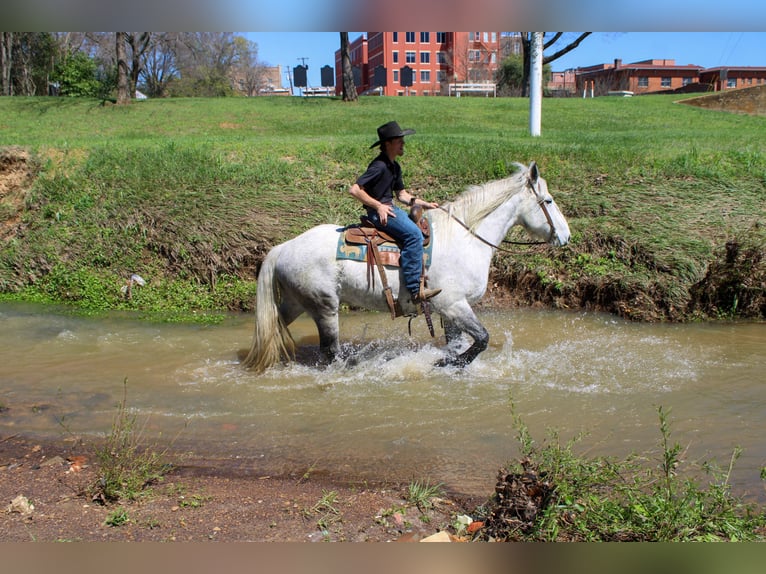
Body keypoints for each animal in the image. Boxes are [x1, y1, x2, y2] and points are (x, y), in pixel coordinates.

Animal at [242, 161, 570, 373]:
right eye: (548, 201)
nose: (566, 237)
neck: (464, 238)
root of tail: (283, 247)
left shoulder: (449, 310)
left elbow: (459, 344)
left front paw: (449, 365)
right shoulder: (454, 305)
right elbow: (482, 340)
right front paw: (445, 363)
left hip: (297, 302)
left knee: (275, 329)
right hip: (324, 307)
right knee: (329, 351)